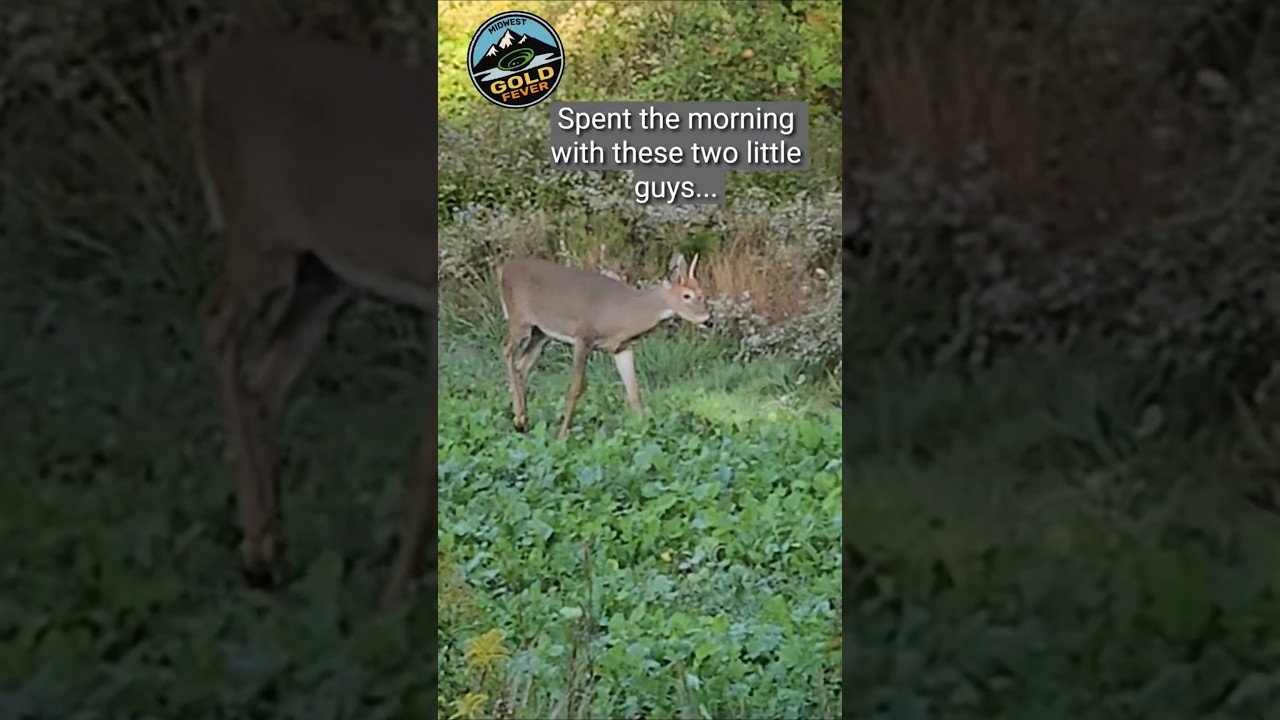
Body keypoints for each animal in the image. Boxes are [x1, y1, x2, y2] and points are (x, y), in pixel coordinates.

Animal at [189, 38, 436, 609]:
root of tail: (212, 71)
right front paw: (391, 599)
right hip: (259, 236)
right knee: (216, 327)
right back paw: (259, 548)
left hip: (324, 275)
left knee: (264, 378)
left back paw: (271, 549)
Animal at [497, 251, 713, 440]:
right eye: (686, 295)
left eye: (702, 293)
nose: (709, 320)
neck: (622, 316)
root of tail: (504, 269)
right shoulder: (583, 337)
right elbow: (575, 388)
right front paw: (561, 435)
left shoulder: (622, 348)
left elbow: (634, 391)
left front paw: (644, 429)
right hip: (520, 319)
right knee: (506, 348)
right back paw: (519, 419)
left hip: (541, 333)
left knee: (522, 366)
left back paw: (523, 419)